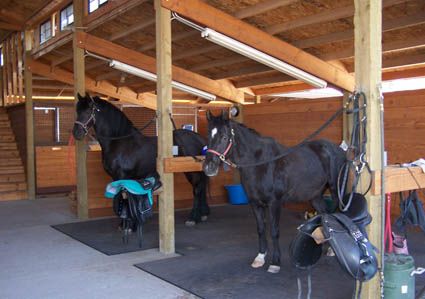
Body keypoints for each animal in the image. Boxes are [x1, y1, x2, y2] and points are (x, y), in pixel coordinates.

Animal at [73, 94, 211, 225]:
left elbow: (124, 197)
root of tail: (199, 138)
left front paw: (127, 225)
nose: (76, 133)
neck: (120, 141)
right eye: (77, 110)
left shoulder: (122, 175)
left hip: (192, 172)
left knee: (197, 189)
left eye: (88, 111)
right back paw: (203, 214)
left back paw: (193, 218)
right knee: (201, 187)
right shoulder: (116, 177)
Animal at [204, 110, 346, 274]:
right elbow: (260, 229)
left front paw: (275, 262)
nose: (208, 167)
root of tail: (338, 150)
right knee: (324, 214)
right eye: (208, 135)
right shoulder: (255, 203)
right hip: (315, 196)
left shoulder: (274, 203)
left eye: (224, 137)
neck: (260, 164)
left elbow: (274, 231)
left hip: (336, 191)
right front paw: (260, 258)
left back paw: (332, 249)